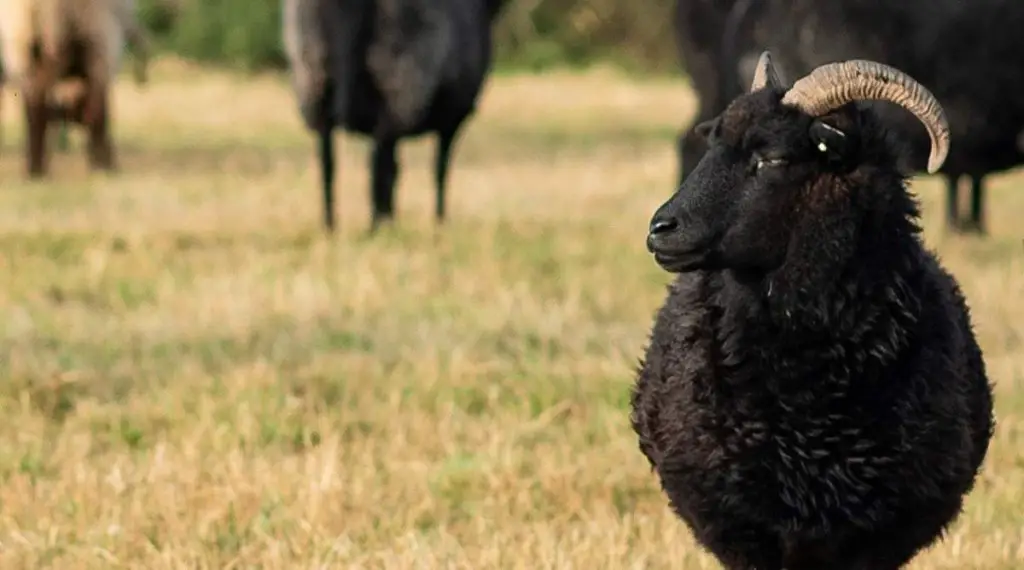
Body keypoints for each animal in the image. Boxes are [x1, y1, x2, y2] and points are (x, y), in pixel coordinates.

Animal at [282, 0, 505, 233]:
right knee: (378, 166)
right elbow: (440, 170)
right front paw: (439, 222)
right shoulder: (451, 117)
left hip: (312, 77)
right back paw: (378, 228)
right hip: (400, 81)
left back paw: (332, 226)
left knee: (328, 162)